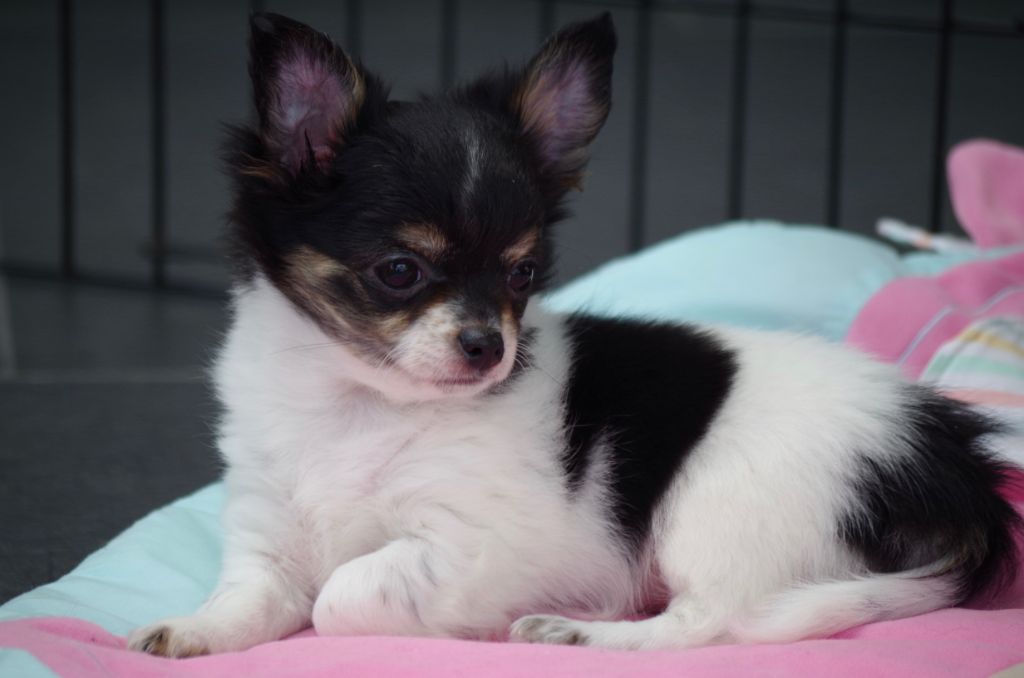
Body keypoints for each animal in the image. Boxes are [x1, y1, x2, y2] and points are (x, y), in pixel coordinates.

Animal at [128, 12, 1020, 656]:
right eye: (400, 271)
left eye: (523, 275)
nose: (488, 346)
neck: (357, 403)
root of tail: (945, 460)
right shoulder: (267, 528)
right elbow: (254, 595)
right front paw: (192, 629)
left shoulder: (473, 544)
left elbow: (341, 595)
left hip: (719, 510)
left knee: (709, 621)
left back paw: (578, 633)